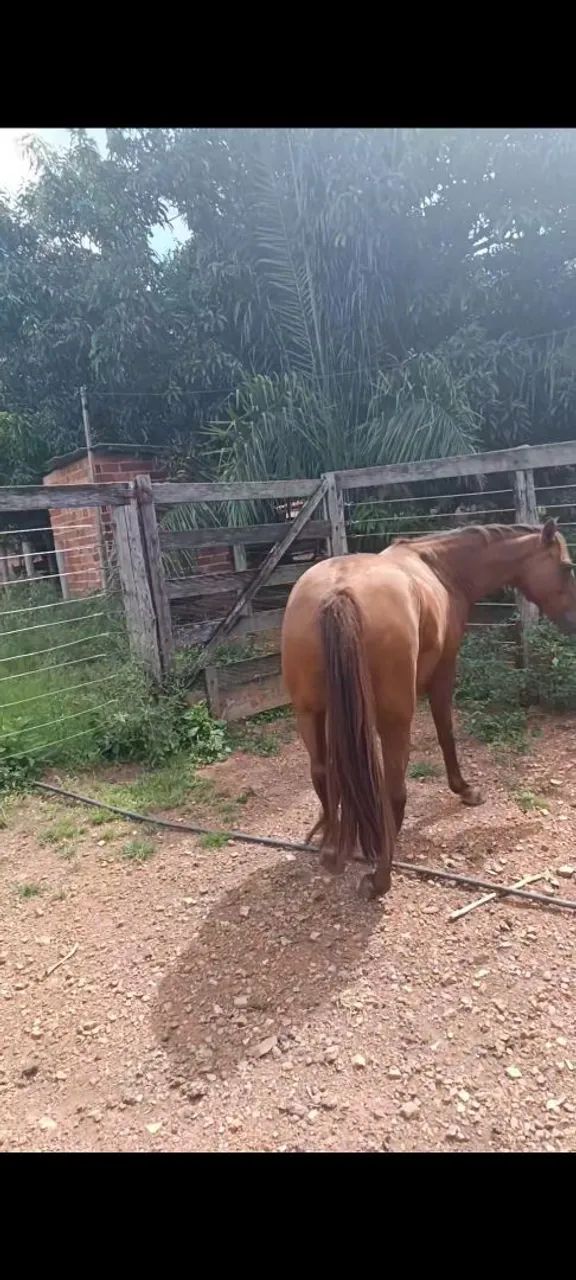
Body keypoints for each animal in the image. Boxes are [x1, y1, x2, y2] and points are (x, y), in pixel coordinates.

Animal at [281, 519, 576, 900]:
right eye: (566, 567)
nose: (575, 623)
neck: (441, 567)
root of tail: (338, 593)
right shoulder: (444, 672)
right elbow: (445, 731)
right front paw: (464, 789)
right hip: (394, 720)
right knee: (394, 787)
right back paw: (380, 875)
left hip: (309, 714)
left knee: (320, 772)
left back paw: (333, 849)